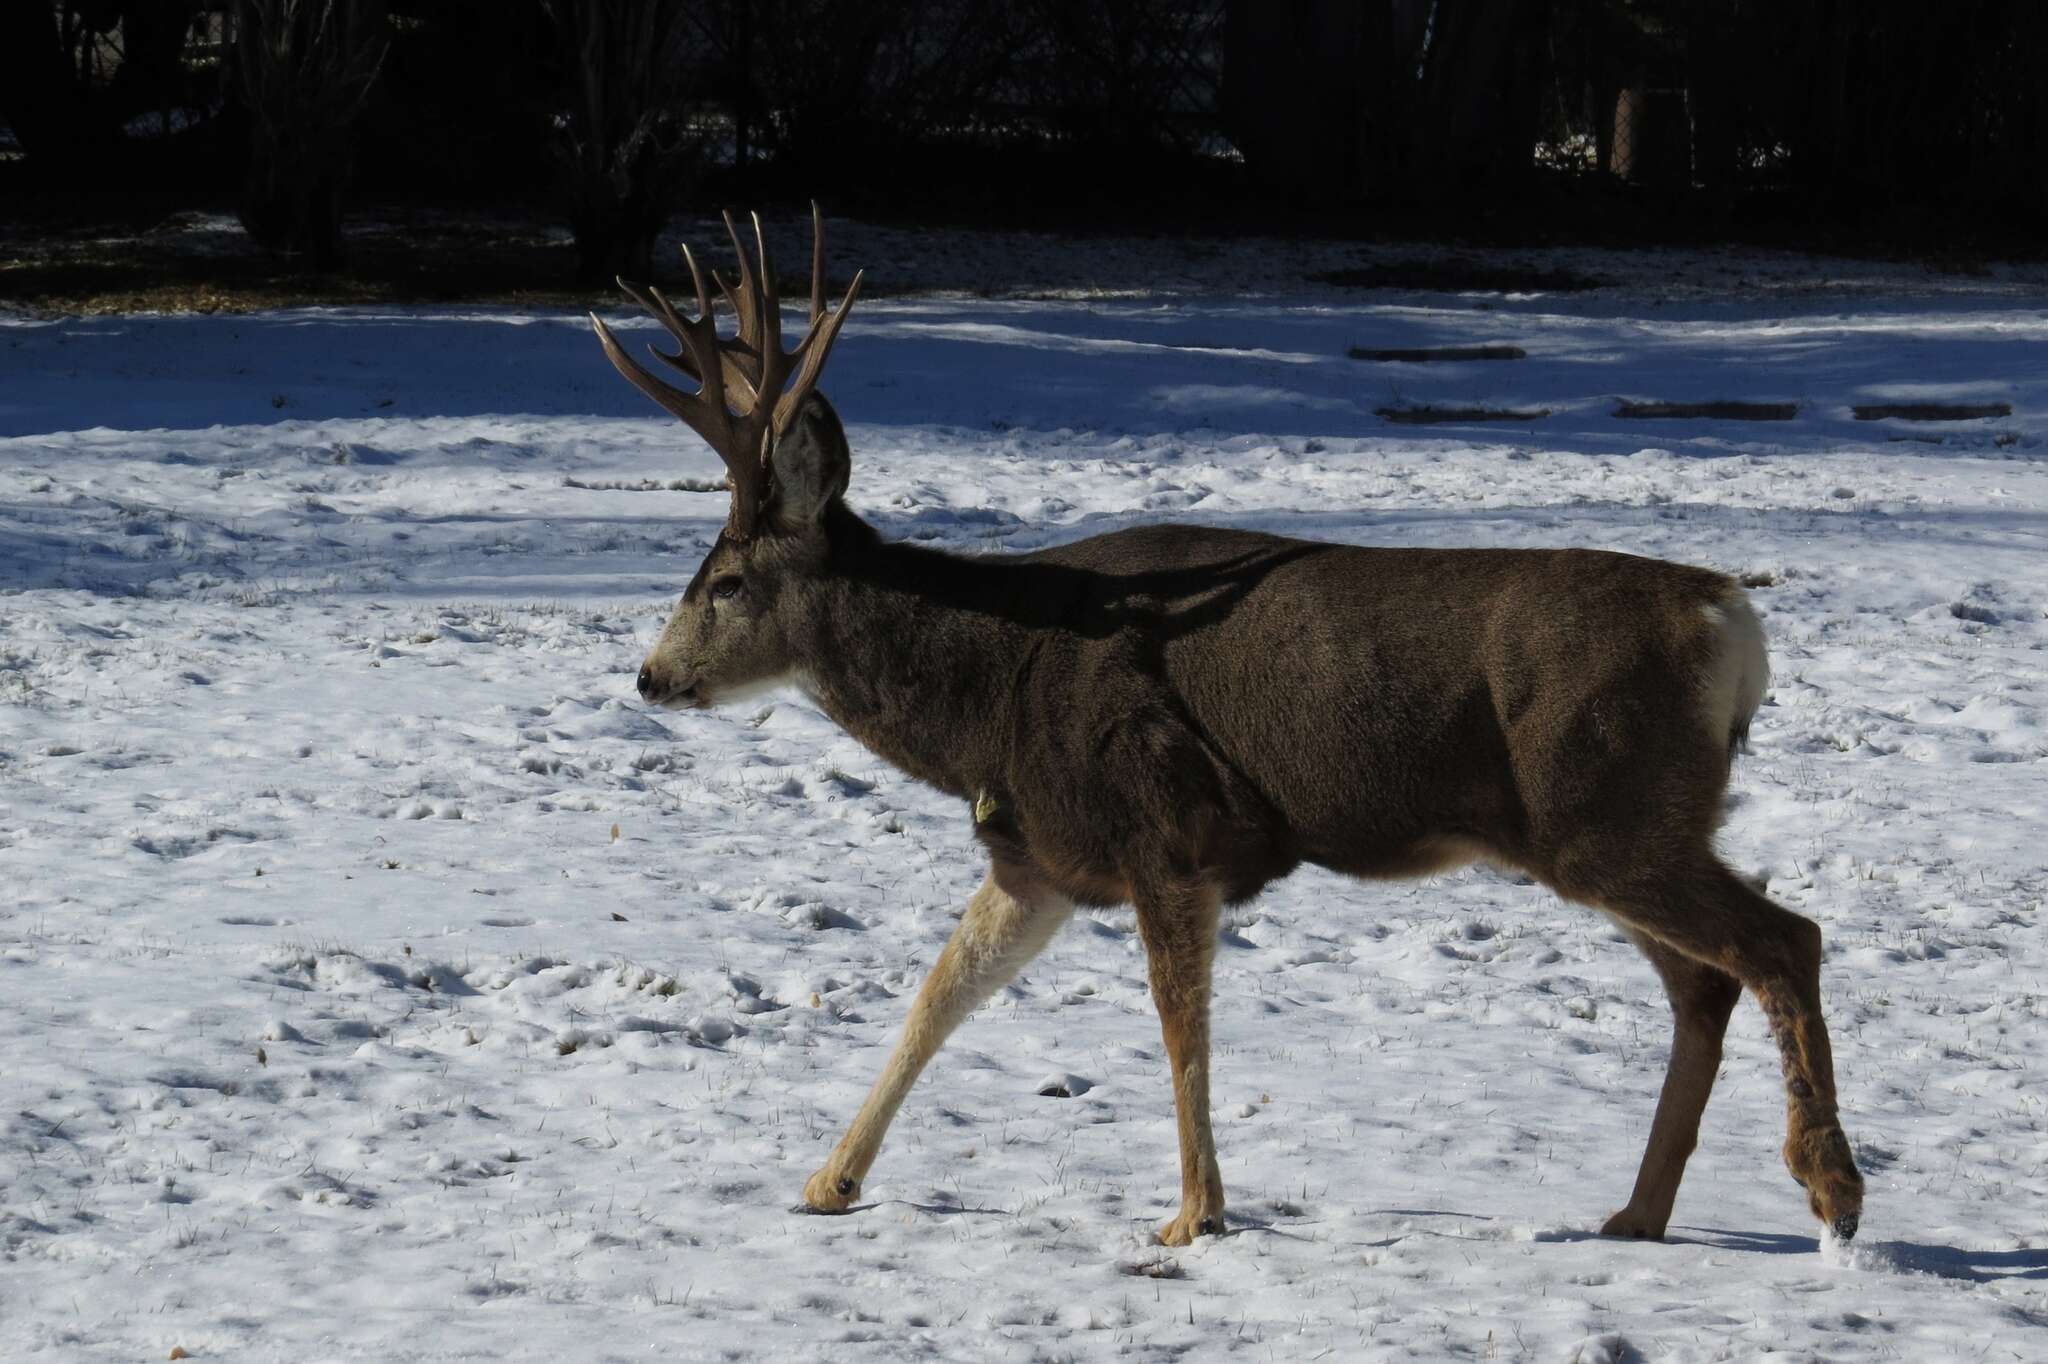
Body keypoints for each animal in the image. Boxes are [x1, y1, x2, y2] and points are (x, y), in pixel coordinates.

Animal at [585, 209, 1867, 1245]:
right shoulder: (1040, 855)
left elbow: (1176, 1021)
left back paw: (1829, 1188)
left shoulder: (1168, 827)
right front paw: (827, 1181)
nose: (650, 677)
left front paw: (1193, 1212)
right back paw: (1638, 1210)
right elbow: (938, 993)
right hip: (1612, 825)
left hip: (1605, 805)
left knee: (1780, 938)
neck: (989, 693)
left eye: (726, 582)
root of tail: (1728, 621)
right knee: (1703, 981)